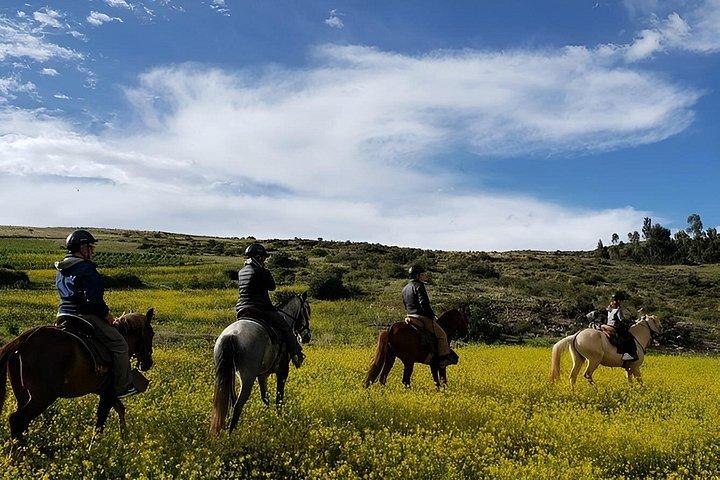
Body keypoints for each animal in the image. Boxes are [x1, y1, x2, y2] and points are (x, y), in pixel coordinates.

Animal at [0, 309, 155, 442]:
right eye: (152, 333)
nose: (148, 364)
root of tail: (24, 339)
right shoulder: (108, 392)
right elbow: (100, 423)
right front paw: (95, 450)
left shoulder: (105, 391)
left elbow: (120, 410)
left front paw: (124, 441)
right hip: (43, 396)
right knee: (18, 420)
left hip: (22, 394)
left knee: (22, 423)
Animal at [210, 293, 312, 434]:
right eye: (307, 311)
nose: (307, 337)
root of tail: (232, 335)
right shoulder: (282, 372)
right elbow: (278, 399)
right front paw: (279, 420)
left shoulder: (263, 375)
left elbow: (265, 398)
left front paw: (268, 418)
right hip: (247, 378)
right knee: (238, 405)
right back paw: (231, 435)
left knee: (231, 401)